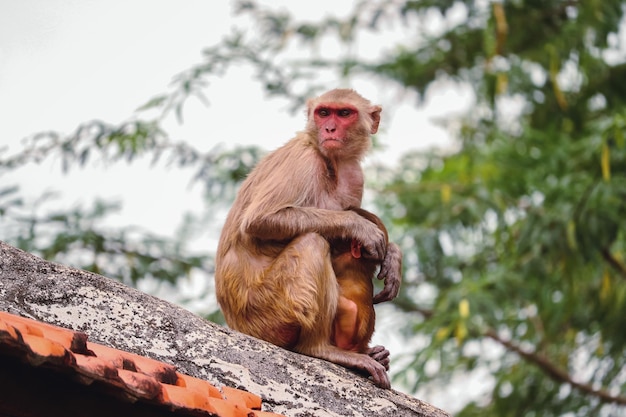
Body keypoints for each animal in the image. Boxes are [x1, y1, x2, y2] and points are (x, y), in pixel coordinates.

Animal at [213, 87, 400, 386]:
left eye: (344, 113)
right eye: (323, 112)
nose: (329, 128)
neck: (330, 161)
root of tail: (237, 324)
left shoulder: (355, 175)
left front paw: (393, 256)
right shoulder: (303, 160)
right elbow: (260, 220)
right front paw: (358, 226)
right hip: (267, 313)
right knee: (312, 242)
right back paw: (320, 348)